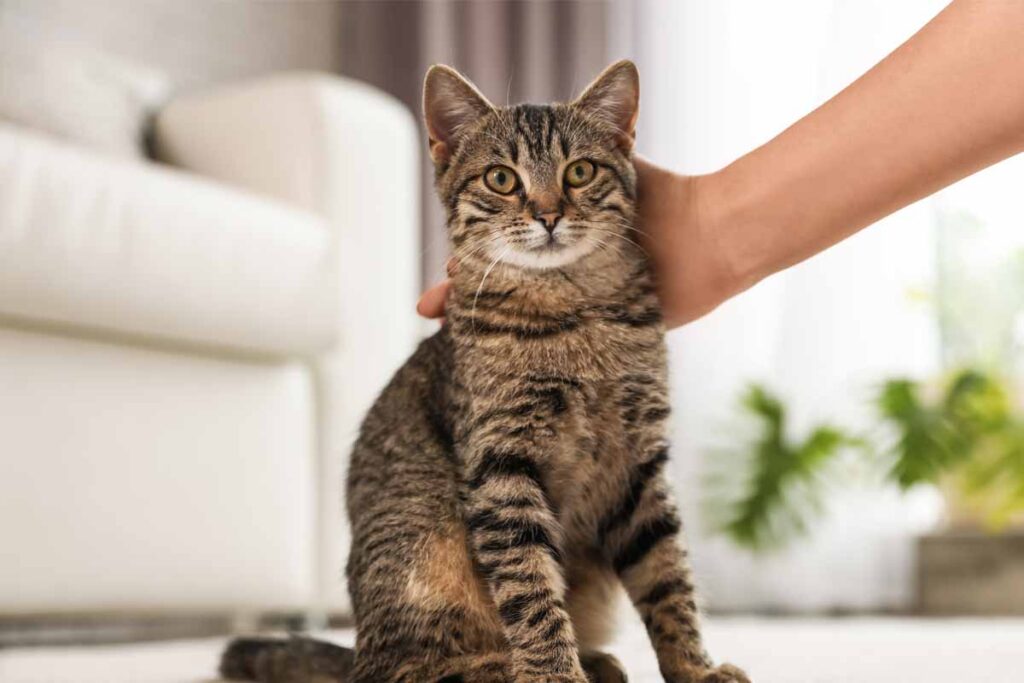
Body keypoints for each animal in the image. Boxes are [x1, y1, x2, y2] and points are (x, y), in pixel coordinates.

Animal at [222, 61, 753, 683]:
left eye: (580, 171)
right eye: (502, 179)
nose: (548, 214)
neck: (577, 316)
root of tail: (356, 649)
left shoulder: (640, 464)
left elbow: (668, 578)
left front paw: (695, 668)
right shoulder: (501, 466)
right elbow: (531, 588)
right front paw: (555, 675)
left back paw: (596, 660)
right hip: (426, 546)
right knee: (407, 669)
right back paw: (512, 666)